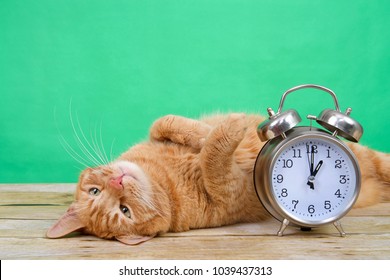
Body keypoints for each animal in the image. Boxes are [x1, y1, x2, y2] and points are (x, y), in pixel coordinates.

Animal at [46, 112, 390, 244]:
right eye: (124, 211)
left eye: (93, 190)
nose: (118, 183)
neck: (163, 175)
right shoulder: (233, 191)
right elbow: (214, 161)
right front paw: (230, 128)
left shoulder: (157, 136)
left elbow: (165, 123)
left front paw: (204, 132)